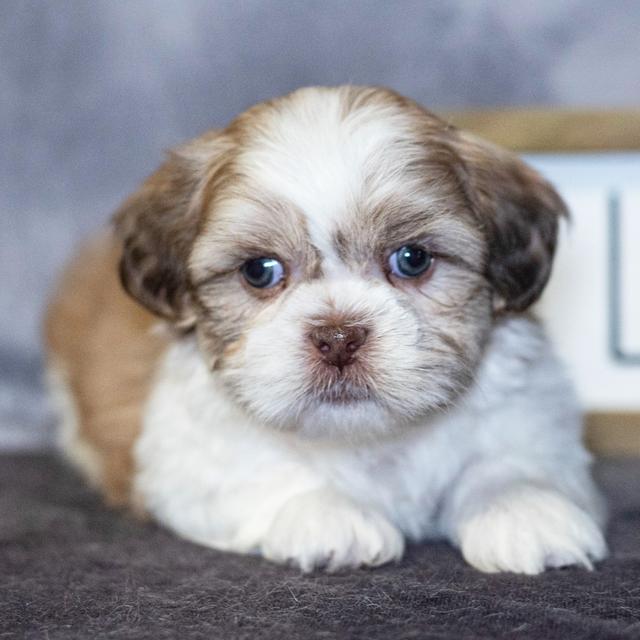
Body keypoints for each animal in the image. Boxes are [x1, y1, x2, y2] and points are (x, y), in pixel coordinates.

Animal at [45, 86, 604, 576]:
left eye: (412, 258)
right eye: (259, 270)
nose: (338, 338)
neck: (366, 438)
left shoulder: (531, 416)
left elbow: (511, 462)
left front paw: (524, 509)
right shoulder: (184, 456)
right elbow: (260, 471)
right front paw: (330, 514)